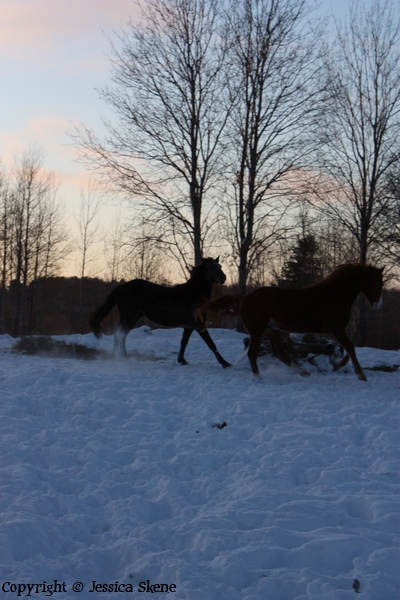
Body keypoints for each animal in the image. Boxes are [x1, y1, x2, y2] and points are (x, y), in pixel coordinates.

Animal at [89, 256, 230, 366]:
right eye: (210, 268)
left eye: (220, 266)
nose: (223, 278)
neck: (193, 295)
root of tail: (122, 287)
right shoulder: (199, 325)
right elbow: (211, 344)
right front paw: (225, 363)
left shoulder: (190, 326)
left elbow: (183, 342)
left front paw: (182, 360)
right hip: (128, 316)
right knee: (119, 334)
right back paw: (117, 357)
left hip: (134, 317)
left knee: (122, 334)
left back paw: (123, 356)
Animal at [200, 266, 384, 382]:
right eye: (380, 283)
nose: (379, 305)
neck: (335, 295)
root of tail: (244, 299)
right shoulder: (336, 329)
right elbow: (350, 347)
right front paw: (359, 374)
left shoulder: (335, 330)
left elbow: (347, 347)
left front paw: (339, 366)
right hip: (258, 331)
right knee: (253, 354)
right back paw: (259, 377)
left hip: (272, 331)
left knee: (278, 352)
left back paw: (302, 372)